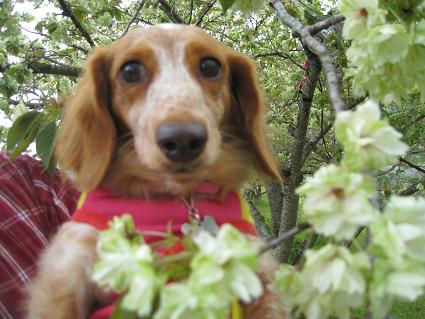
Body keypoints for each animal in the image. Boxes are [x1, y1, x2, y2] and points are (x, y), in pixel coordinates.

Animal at [26, 24, 284, 319]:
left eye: (210, 66)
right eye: (130, 71)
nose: (183, 140)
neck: (180, 198)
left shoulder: (254, 263)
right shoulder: (65, 272)